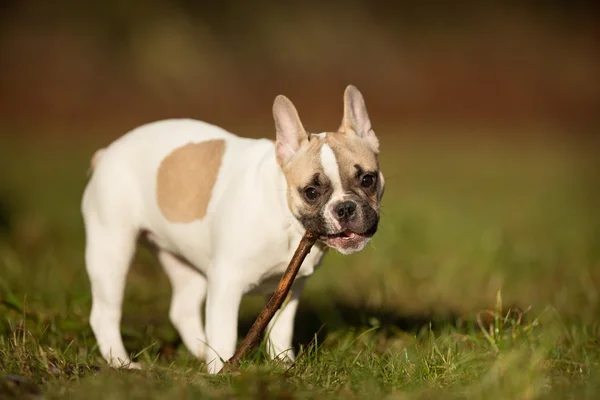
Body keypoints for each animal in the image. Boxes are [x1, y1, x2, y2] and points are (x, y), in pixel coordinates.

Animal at [81, 85, 384, 376]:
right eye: (311, 192)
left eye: (368, 179)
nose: (345, 208)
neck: (284, 217)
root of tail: (106, 153)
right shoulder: (226, 284)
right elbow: (224, 334)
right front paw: (220, 373)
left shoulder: (289, 290)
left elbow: (279, 332)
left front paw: (283, 365)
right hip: (112, 248)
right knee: (105, 313)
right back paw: (123, 363)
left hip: (185, 263)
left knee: (182, 309)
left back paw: (200, 353)